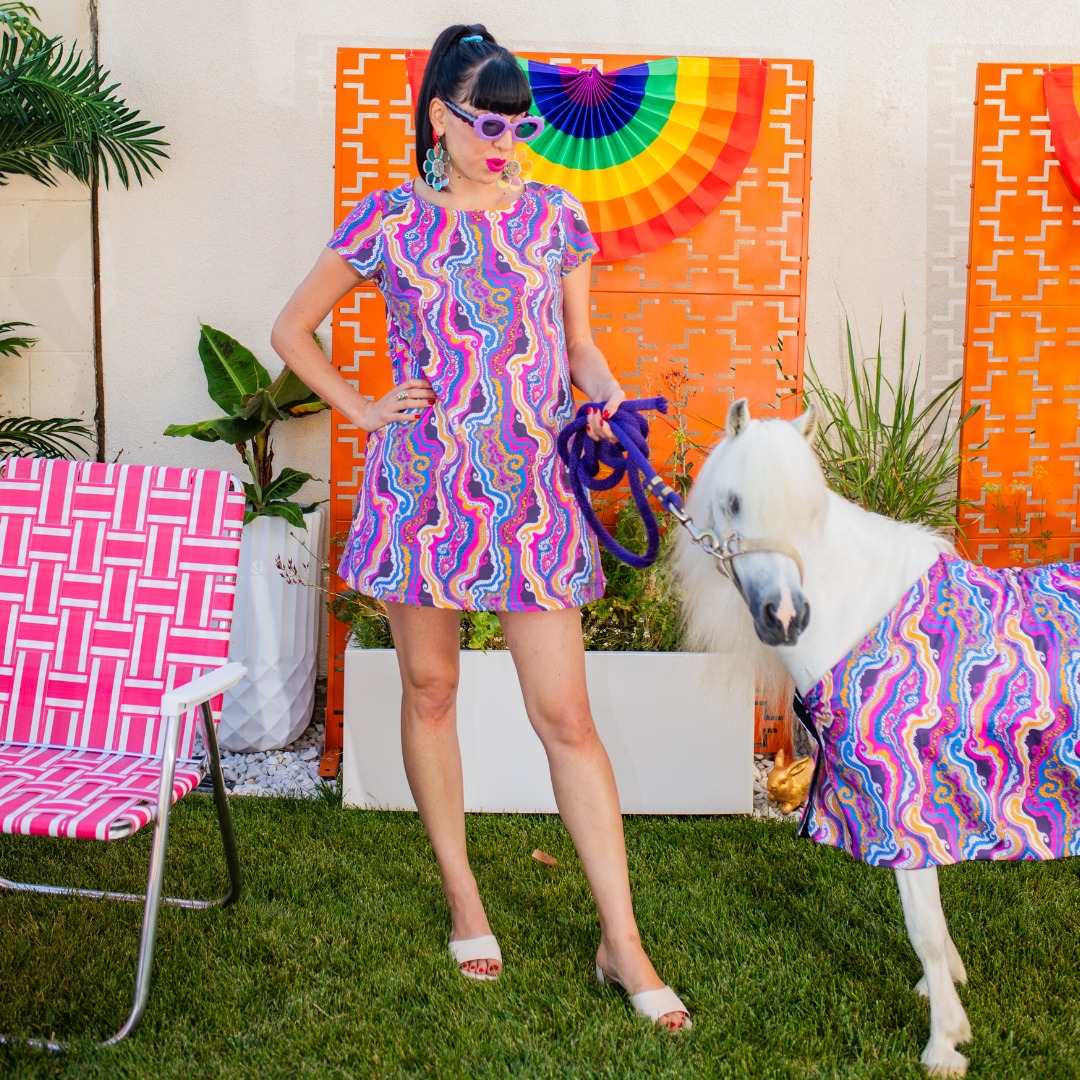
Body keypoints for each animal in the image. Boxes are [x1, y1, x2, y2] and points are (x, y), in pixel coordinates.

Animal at [678, 401, 976, 1075]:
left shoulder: (905, 807)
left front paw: (943, 1043)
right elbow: (937, 918)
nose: (786, 618)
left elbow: (923, 923)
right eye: (732, 502)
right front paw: (942, 989)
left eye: (808, 515)